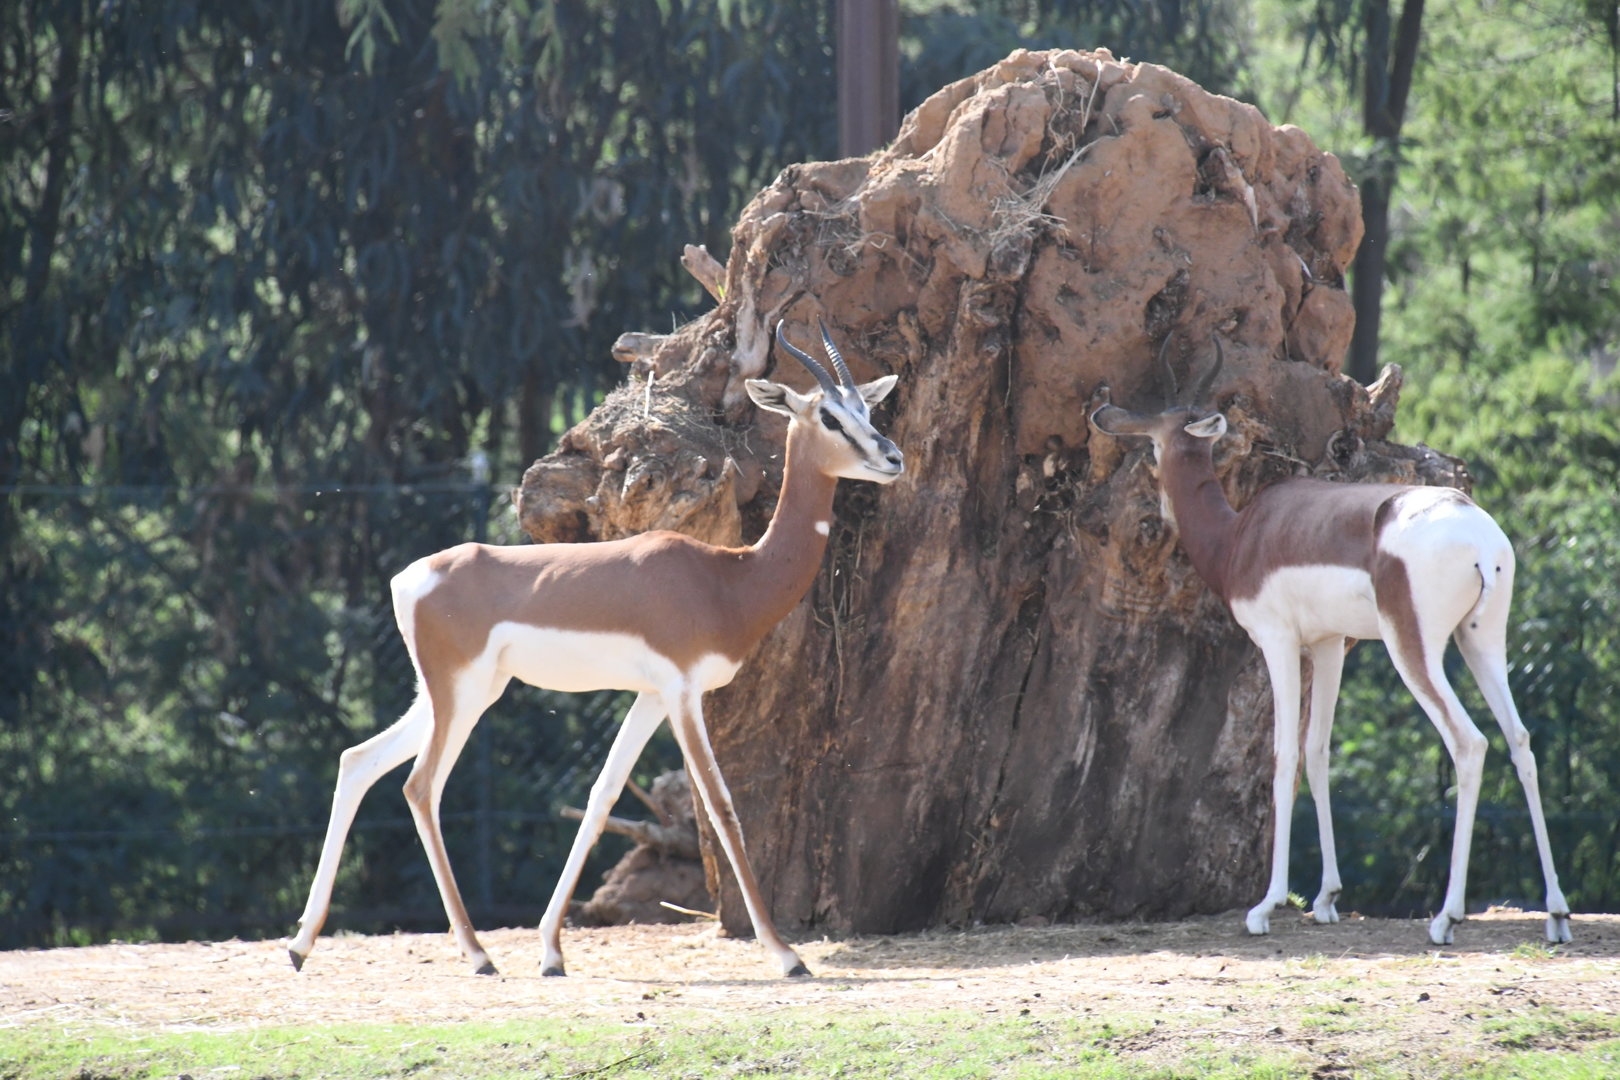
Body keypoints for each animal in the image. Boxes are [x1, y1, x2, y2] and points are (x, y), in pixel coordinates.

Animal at [287, 319, 904, 978]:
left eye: (868, 408)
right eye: (830, 416)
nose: (892, 457)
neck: (728, 579)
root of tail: (411, 579)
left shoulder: (652, 697)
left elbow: (603, 794)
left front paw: (552, 951)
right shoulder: (683, 693)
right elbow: (721, 805)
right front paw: (787, 955)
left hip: (450, 693)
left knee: (358, 761)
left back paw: (301, 945)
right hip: (462, 696)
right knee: (420, 786)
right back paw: (477, 954)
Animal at [1089, 338, 1571, 946]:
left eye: (1154, 438)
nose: (1103, 413)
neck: (1240, 537)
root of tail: (1478, 536)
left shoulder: (1277, 642)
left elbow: (1284, 756)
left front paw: (1266, 906)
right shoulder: (1326, 644)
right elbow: (1318, 754)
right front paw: (1326, 898)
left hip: (1412, 648)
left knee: (1470, 744)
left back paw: (1446, 917)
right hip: (1481, 642)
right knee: (1520, 741)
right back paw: (1556, 915)